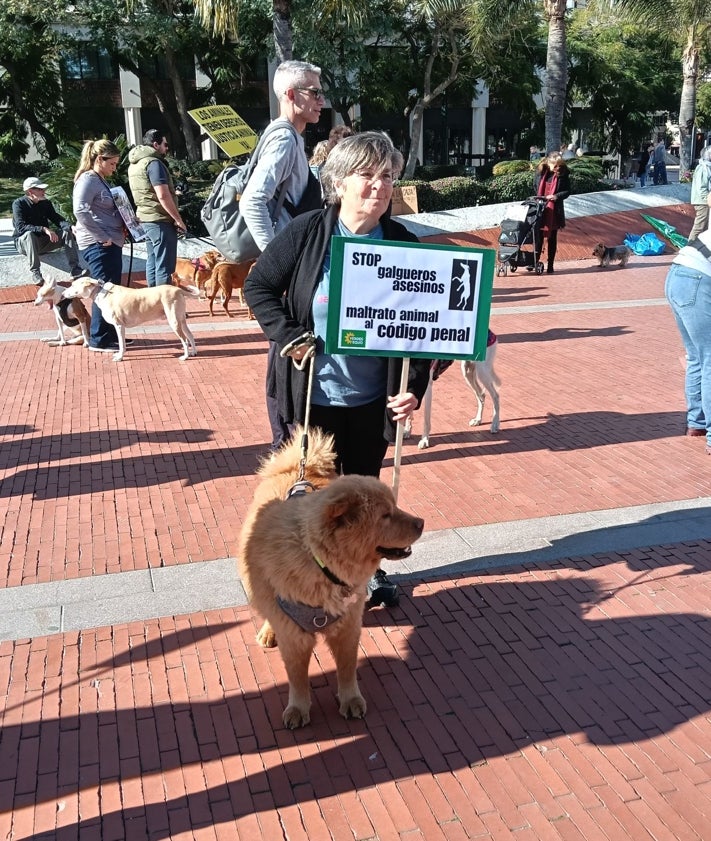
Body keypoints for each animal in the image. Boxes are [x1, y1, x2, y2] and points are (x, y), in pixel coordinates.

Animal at [62, 278, 200, 360]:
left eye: (73, 285)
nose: (63, 294)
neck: (101, 292)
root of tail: (178, 289)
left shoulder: (119, 326)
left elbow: (121, 344)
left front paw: (119, 357)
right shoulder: (120, 327)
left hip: (174, 321)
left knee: (185, 340)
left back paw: (185, 356)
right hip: (181, 321)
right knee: (191, 336)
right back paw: (193, 352)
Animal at [239, 430, 422, 724]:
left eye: (394, 507)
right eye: (385, 515)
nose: (421, 523)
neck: (320, 563)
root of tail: (300, 468)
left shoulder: (348, 627)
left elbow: (347, 670)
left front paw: (351, 700)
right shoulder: (294, 636)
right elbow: (297, 677)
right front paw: (298, 708)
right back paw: (268, 632)